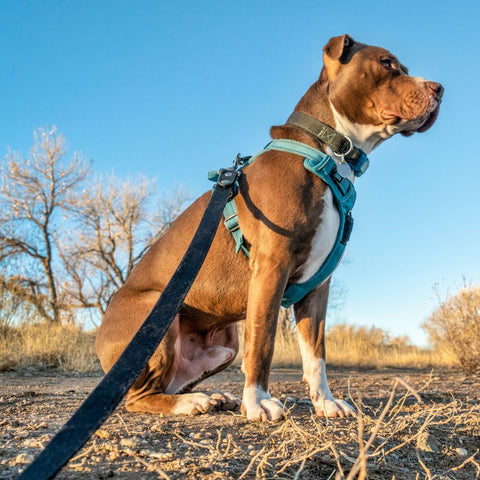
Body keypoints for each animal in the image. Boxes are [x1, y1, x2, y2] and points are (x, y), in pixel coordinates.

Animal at [94, 34, 442, 420]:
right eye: (386, 64)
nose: (439, 88)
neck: (328, 153)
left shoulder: (316, 287)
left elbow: (316, 353)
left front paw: (326, 402)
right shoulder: (272, 267)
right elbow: (262, 342)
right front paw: (258, 402)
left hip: (225, 343)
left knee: (170, 382)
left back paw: (211, 396)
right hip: (156, 314)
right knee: (138, 397)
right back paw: (191, 402)